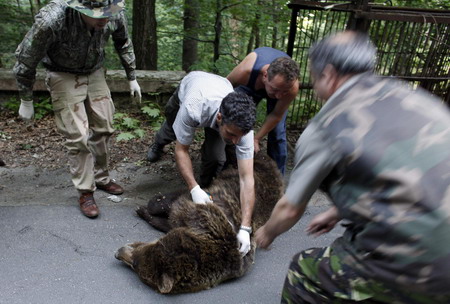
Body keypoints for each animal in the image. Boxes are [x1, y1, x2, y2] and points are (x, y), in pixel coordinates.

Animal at [114, 153, 284, 294]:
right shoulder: (198, 214)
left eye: (136, 265)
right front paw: (148, 207)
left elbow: (171, 209)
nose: (118, 252)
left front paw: (145, 209)